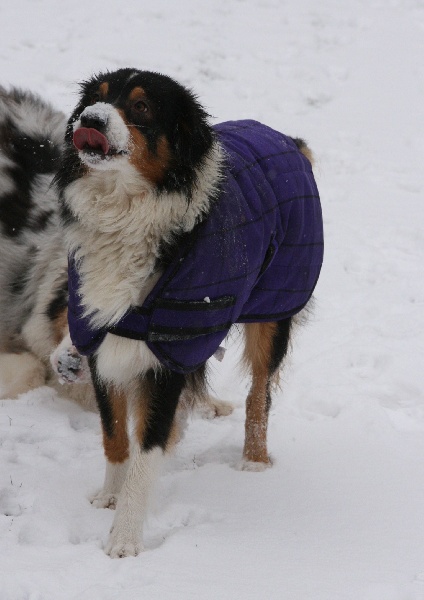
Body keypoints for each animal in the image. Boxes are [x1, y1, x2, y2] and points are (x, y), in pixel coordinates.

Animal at [53, 69, 324, 556]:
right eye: (95, 99)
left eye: (141, 106)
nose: (91, 120)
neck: (125, 210)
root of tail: (288, 140)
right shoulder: (103, 339)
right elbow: (115, 435)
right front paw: (108, 497)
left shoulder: (168, 352)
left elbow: (147, 448)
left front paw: (124, 540)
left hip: (274, 309)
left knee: (259, 392)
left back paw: (255, 462)